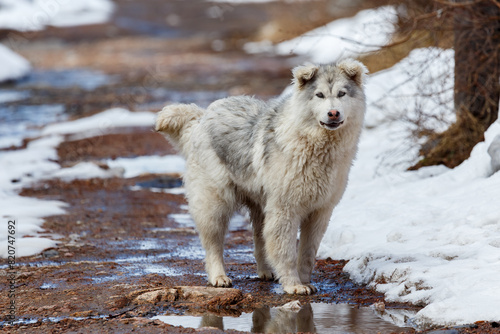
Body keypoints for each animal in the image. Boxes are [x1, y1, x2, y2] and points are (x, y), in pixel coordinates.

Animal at [156, 58, 368, 294]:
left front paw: (305, 281)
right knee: (213, 245)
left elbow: (307, 253)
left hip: (261, 206)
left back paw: (266, 272)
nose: (333, 113)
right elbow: (286, 252)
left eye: (342, 94)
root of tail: (201, 117)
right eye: (319, 95)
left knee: (260, 240)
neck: (314, 145)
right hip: (215, 205)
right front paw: (294, 285)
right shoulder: (285, 209)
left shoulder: (320, 212)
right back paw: (219, 277)